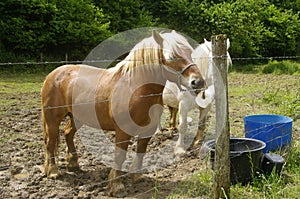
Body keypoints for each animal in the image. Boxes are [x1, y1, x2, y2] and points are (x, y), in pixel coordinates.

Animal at [41, 29, 205, 196]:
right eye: (172, 56)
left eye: (190, 53)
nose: (198, 82)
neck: (136, 88)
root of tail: (54, 74)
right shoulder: (122, 131)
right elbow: (120, 156)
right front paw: (116, 185)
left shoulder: (148, 130)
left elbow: (141, 151)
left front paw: (136, 176)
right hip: (52, 118)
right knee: (51, 141)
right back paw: (53, 171)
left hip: (77, 117)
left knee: (68, 133)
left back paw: (73, 164)